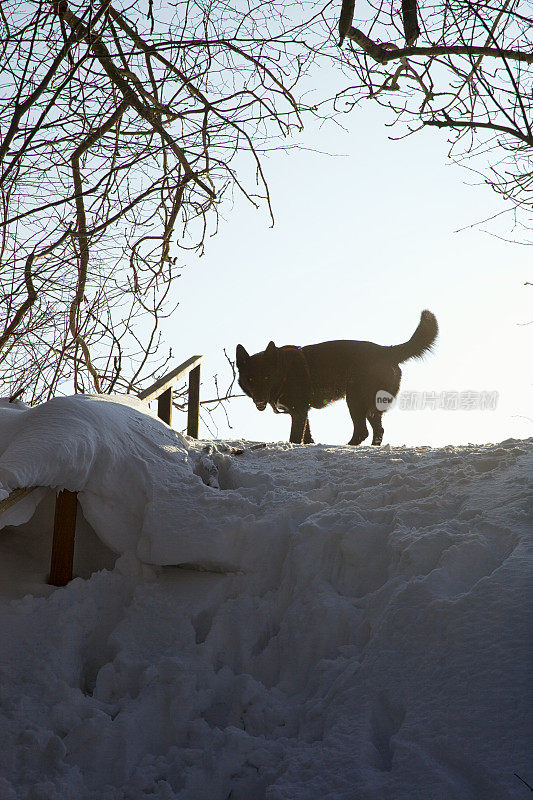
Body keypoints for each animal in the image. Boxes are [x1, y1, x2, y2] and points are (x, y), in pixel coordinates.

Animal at [236, 310, 436, 446]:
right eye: (250, 379)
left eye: (267, 377)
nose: (259, 399)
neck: (284, 371)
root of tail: (387, 351)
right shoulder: (301, 411)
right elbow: (307, 436)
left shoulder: (299, 411)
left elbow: (295, 437)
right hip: (368, 404)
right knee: (377, 429)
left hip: (355, 399)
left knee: (362, 431)